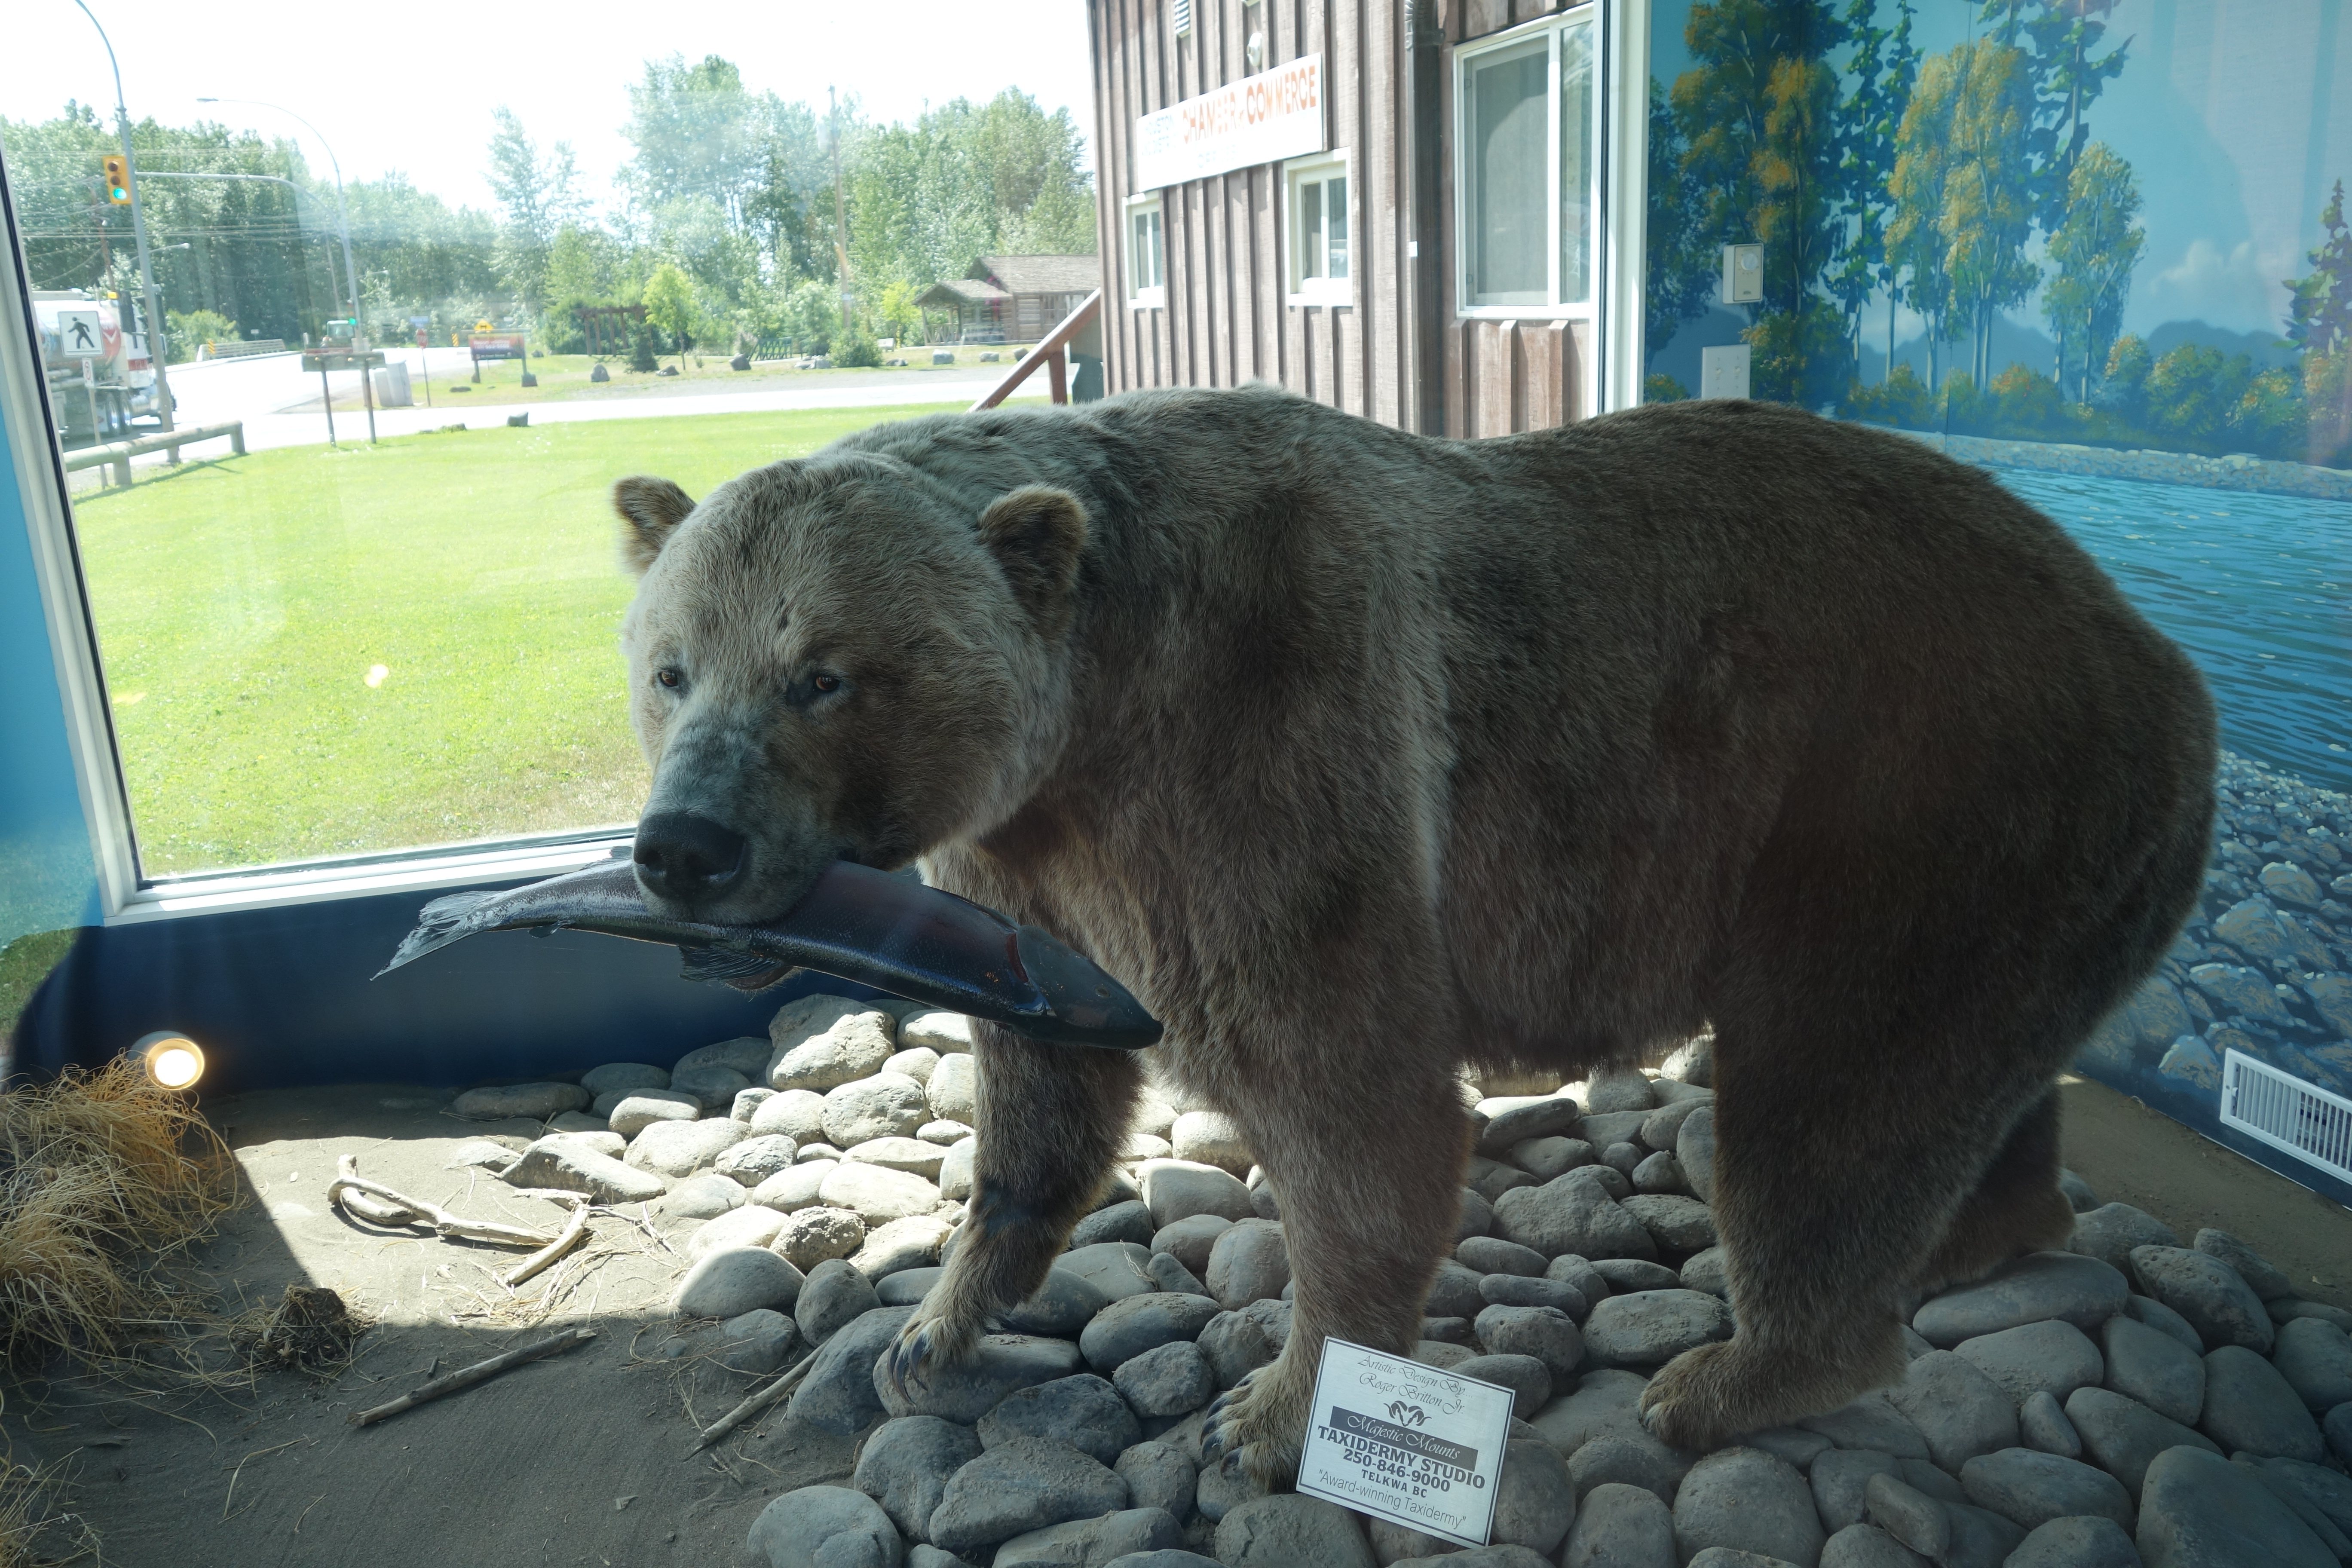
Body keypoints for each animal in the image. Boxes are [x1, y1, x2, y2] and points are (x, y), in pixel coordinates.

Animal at [609, 385, 2215, 1478]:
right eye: (671, 666)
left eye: (823, 672)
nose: (684, 844)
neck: (1088, 720)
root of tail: (2172, 668)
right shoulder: (1028, 874)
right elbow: (1042, 1093)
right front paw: (925, 1331)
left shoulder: (1270, 744)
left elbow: (1349, 1099)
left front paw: (1265, 1413)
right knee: (1971, 1077)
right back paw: (1975, 1237)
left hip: (1915, 817)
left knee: (1830, 1101)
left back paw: (1728, 1374)